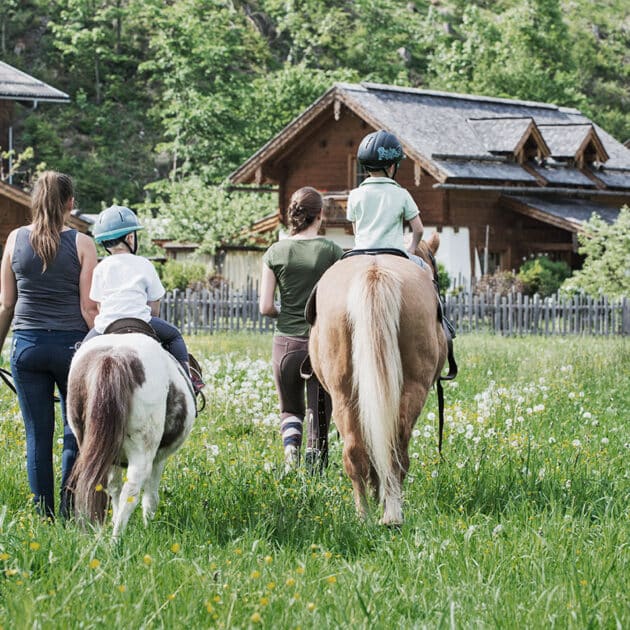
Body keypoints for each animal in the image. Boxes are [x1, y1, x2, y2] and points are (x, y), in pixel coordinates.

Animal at [66, 334, 195, 540]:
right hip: (142, 452)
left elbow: (114, 488)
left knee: (96, 485)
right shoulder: (158, 459)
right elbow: (150, 497)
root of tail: (114, 356)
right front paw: (148, 526)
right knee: (132, 491)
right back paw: (116, 539)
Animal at [312, 235, 450, 524]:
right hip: (408, 389)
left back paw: (366, 514)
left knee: (361, 451)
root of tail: (373, 272)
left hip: (345, 394)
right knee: (393, 449)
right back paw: (388, 513)